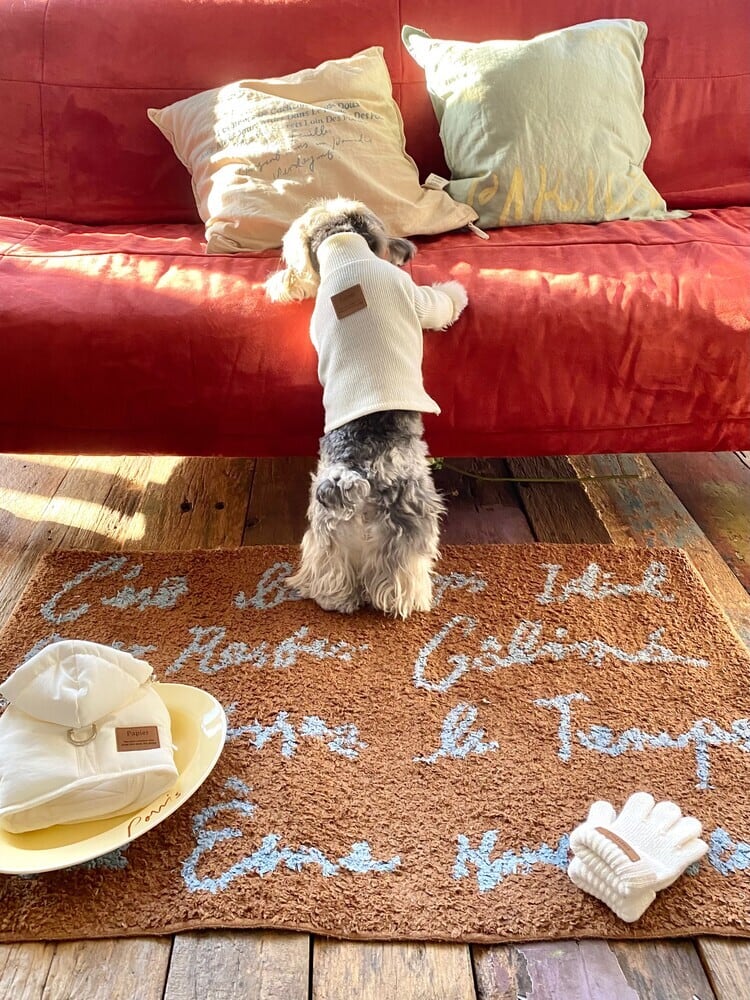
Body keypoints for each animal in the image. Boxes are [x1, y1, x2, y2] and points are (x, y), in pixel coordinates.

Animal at [265, 197, 468, 618]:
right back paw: (407, 600)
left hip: (326, 526)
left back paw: (335, 597)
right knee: (399, 572)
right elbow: (441, 303)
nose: (407, 251)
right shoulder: (417, 298)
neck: (345, 254)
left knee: (326, 566)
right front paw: (458, 290)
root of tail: (355, 475)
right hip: (409, 519)